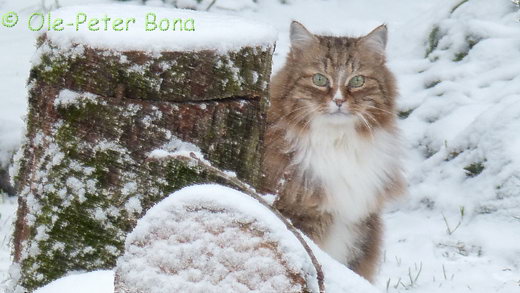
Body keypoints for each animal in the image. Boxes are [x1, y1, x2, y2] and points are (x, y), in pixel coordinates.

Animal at [262, 21, 404, 282]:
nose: (338, 101)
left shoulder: (361, 227)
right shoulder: (301, 216)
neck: (337, 143)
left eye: (357, 81)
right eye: (319, 79)